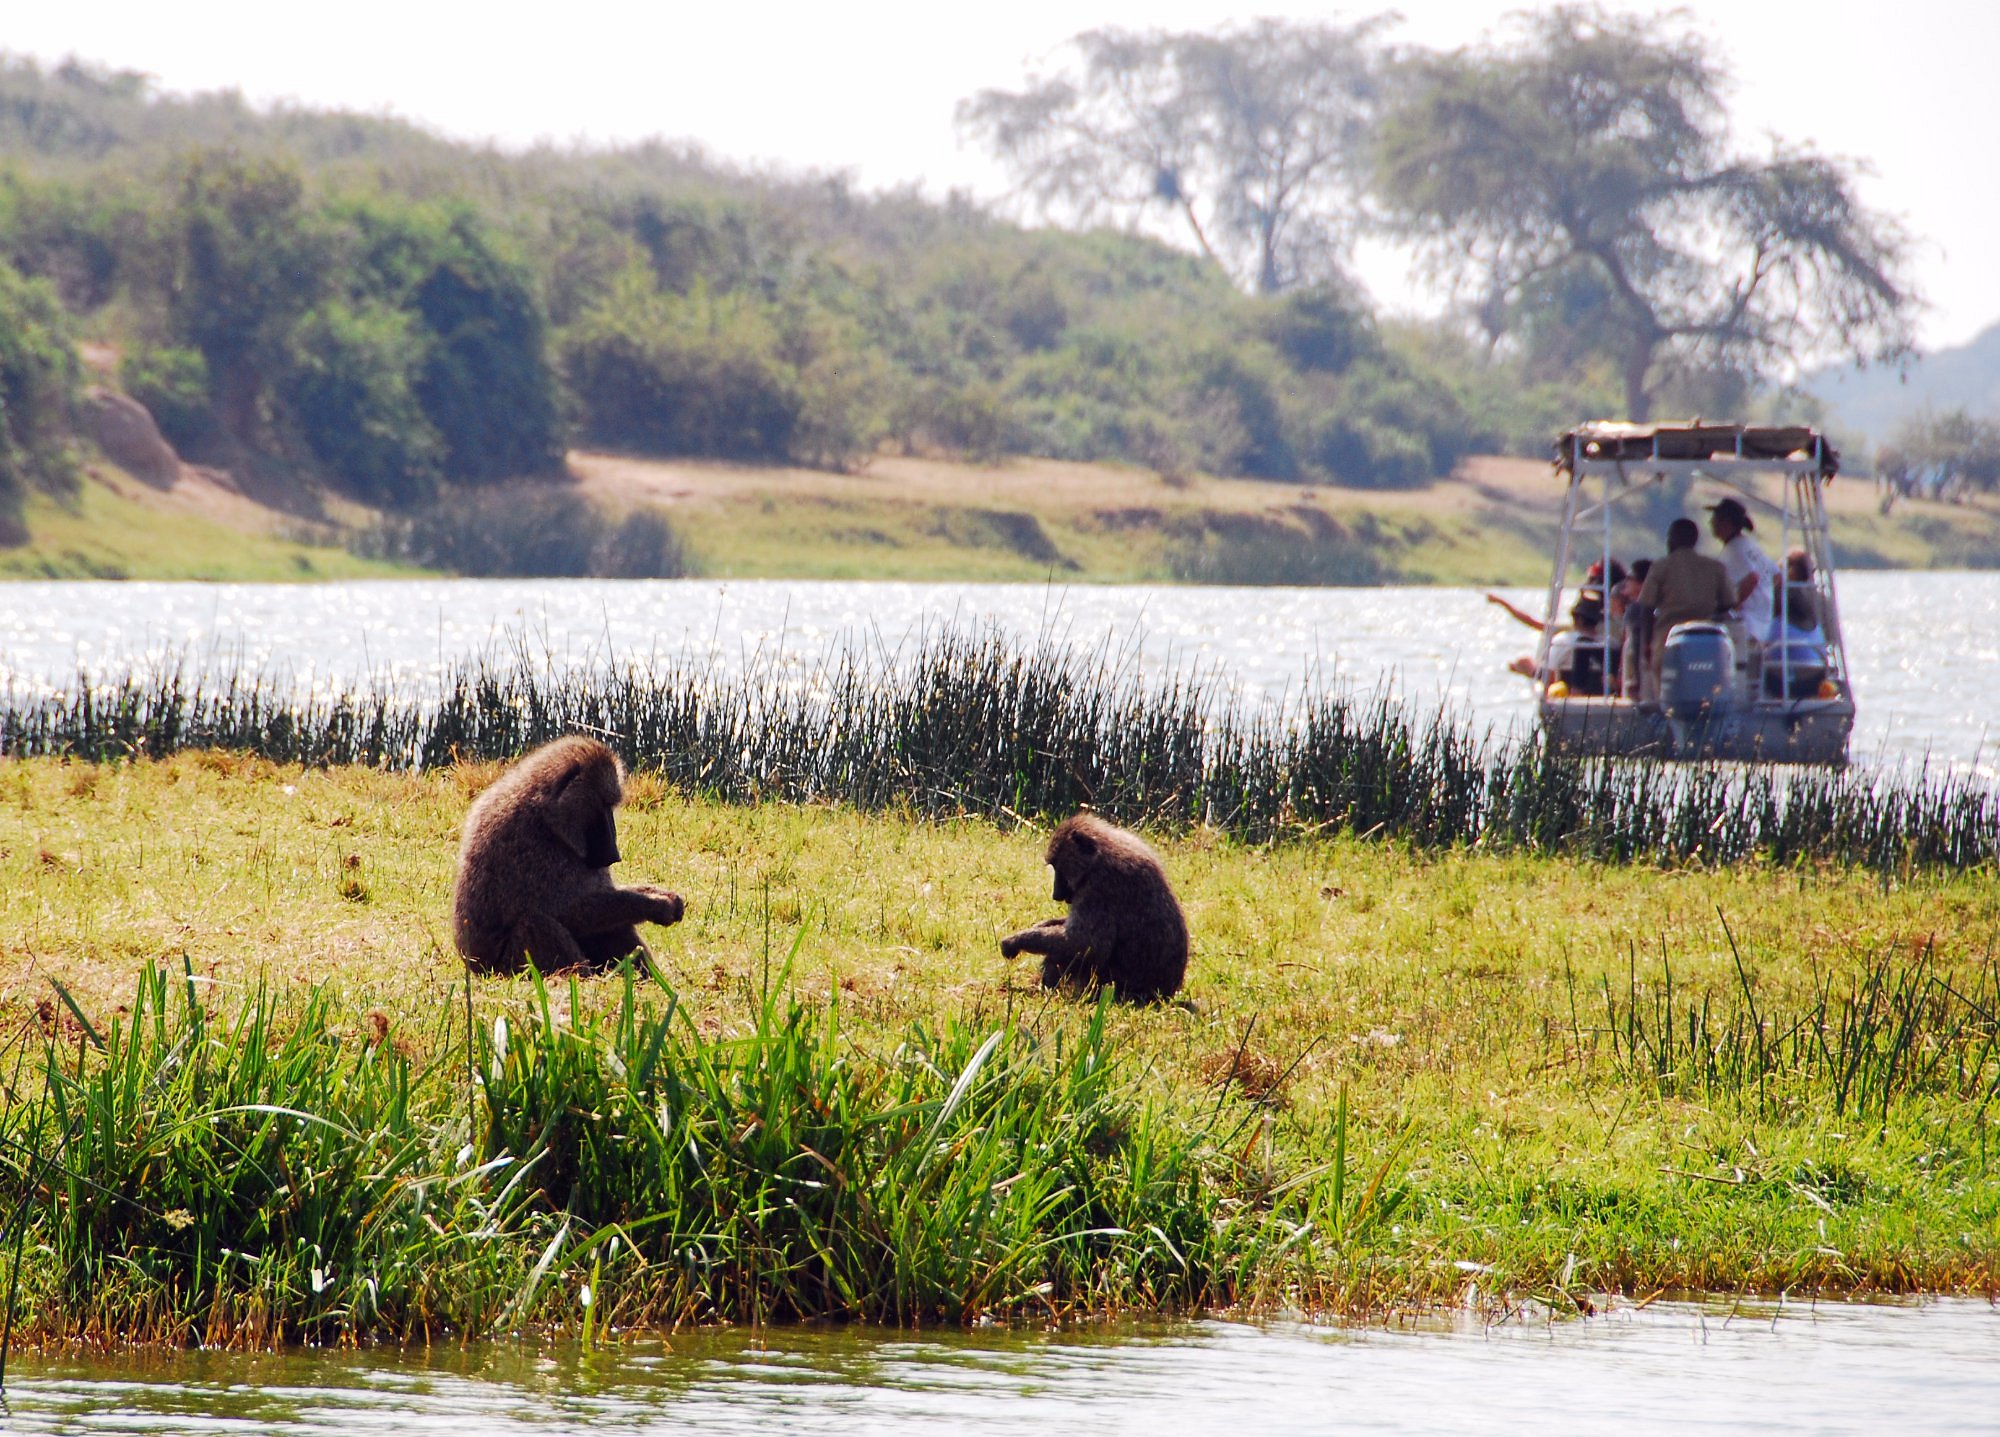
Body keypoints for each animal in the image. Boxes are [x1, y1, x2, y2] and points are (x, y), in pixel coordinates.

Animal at [452, 735, 684, 975]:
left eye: (611, 806)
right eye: (603, 804)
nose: (614, 854)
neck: (545, 813)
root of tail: (475, 967)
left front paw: (658, 894)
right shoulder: (529, 845)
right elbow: (565, 911)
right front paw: (654, 904)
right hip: (508, 967)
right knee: (535, 921)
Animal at [998, 812, 1188, 1003]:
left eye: (1059, 868)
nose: (1056, 895)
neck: (1099, 854)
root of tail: (1166, 994)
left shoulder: (1099, 886)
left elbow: (1087, 944)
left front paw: (1014, 941)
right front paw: (1040, 925)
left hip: (1117, 988)